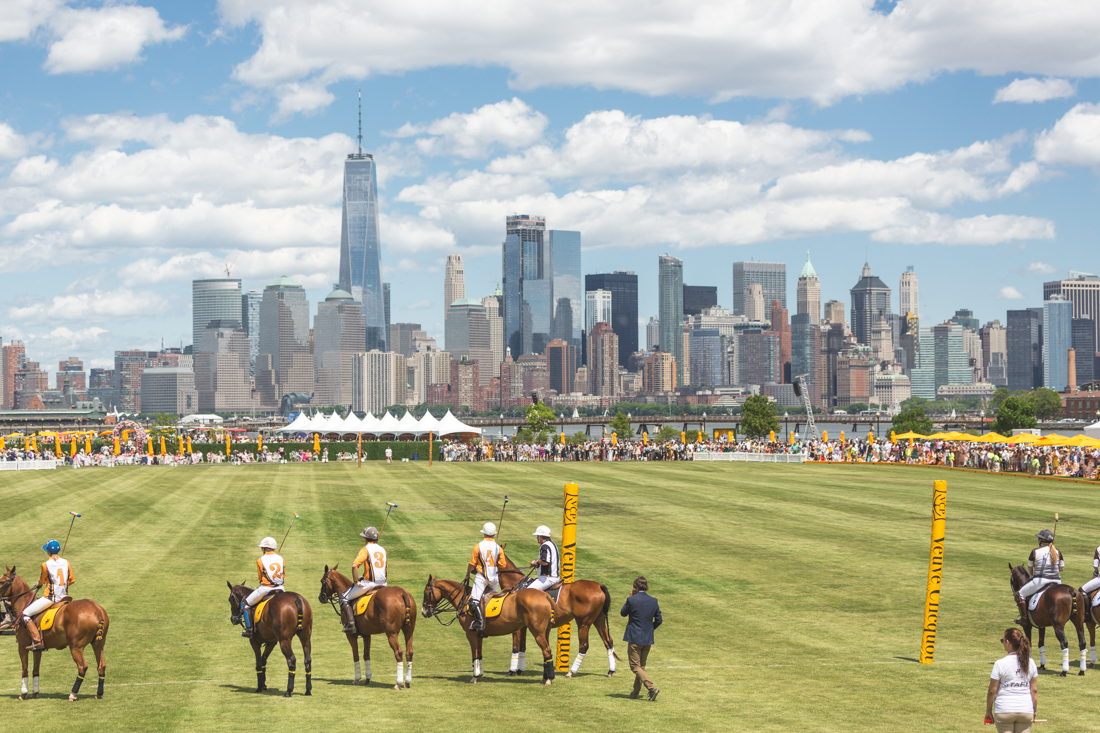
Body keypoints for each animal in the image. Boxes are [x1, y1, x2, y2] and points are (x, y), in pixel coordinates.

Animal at [0, 567, 107, 699]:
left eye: (2, 581)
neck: (24, 605)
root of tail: (96, 609)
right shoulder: (37, 649)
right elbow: (36, 670)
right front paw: (34, 693)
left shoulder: (22, 646)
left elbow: (25, 670)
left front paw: (23, 694)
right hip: (98, 643)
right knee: (101, 666)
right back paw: (98, 694)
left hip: (76, 646)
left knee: (82, 667)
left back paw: (73, 694)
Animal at [420, 572, 558, 682]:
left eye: (426, 593)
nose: (423, 612)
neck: (465, 600)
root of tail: (545, 596)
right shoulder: (478, 635)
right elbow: (479, 655)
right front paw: (479, 675)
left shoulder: (471, 634)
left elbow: (475, 655)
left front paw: (475, 677)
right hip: (545, 631)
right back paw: (545, 678)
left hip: (537, 632)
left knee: (546, 650)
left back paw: (548, 679)